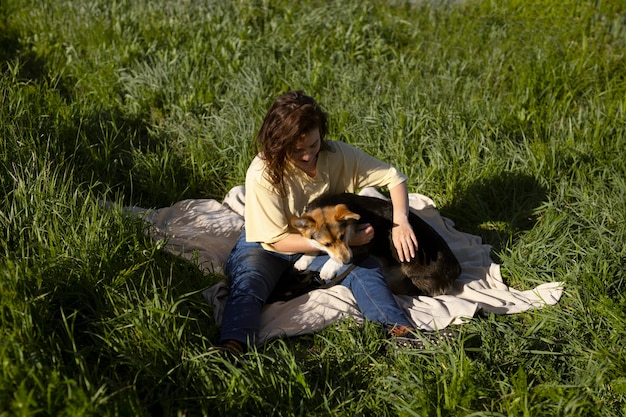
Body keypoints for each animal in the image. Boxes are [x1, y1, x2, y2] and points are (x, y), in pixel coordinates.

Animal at [290, 193, 460, 296]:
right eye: (326, 243)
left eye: (342, 236)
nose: (348, 261)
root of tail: (457, 270)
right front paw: (303, 260)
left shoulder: (362, 245)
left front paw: (328, 268)